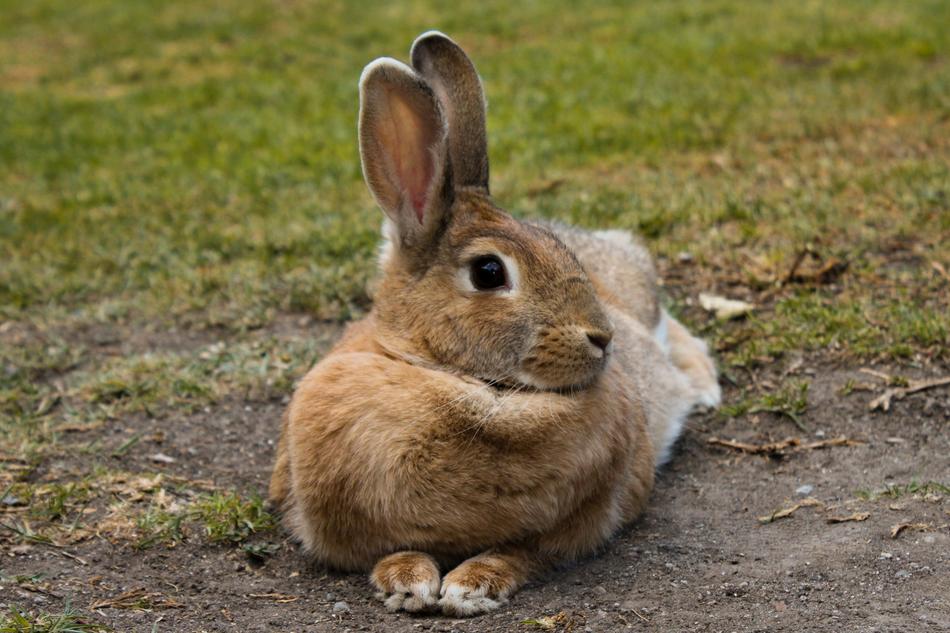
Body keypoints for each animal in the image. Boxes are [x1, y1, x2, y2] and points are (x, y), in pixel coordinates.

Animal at [268, 31, 721, 617]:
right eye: (488, 272)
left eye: (558, 248)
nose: (602, 338)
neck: (447, 373)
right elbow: (392, 550)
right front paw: (407, 583)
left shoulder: (576, 526)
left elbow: (520, 553)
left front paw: (470, 587)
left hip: (641, 302)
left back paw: (704, 388)